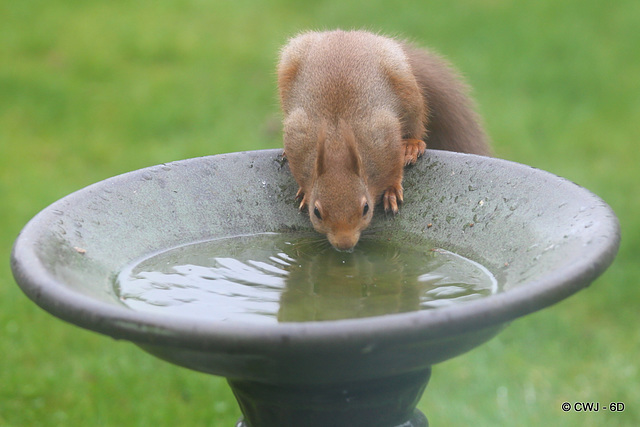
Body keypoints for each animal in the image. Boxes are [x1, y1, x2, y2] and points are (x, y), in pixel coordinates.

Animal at [276, 30, 490, 251]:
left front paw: (391, 191)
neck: (337, 146)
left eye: (365, 208)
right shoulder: (297, 138)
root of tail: (349, 34)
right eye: (316, 212)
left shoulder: (382, 135)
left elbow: (394, 168)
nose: (345, 244)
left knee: (416, 124)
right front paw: (304, 192)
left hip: (405, 85)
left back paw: (412, 145)